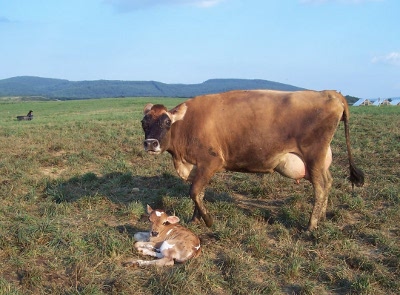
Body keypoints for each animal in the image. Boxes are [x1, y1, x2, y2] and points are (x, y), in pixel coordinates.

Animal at [140, 90, 362, 231]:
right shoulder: (197, 167)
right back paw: (322, 217)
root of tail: (329, 92)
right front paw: (196, 220)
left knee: (321, 187)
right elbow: (199, 193)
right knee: (329, 182)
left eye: (167, 122)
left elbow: (194, 192)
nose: (151, 143)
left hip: (314, 157)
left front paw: (209, 220)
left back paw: (311, 225)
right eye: (144, 123)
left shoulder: (211, 162)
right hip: (320, 160)